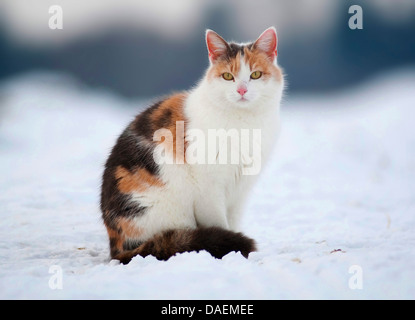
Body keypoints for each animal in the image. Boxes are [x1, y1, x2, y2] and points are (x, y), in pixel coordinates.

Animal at [100, 26, 286, 262]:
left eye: (255, 75)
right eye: (228, 76)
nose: (242, 90)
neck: (244, 123)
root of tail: (116, 247)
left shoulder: (241, 189)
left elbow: (233, 222)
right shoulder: (209, 189)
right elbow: (220, 224)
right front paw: (233, 250)